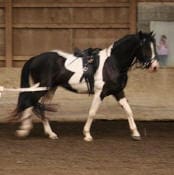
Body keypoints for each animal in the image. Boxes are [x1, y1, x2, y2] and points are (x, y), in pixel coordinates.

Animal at [12, 31, 159, 141]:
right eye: (146, 47)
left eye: (154, 47)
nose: (155, 66)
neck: (112, 63)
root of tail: (35, 58)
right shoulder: (100, 93)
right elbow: (92, 112)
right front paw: (87, 134)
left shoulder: (118, 91)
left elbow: (128, 110)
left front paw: (135, 133)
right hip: (42, 87)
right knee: (30, 102)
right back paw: (23, 131)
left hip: (50, 89)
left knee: (40, 106)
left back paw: (50, 134)